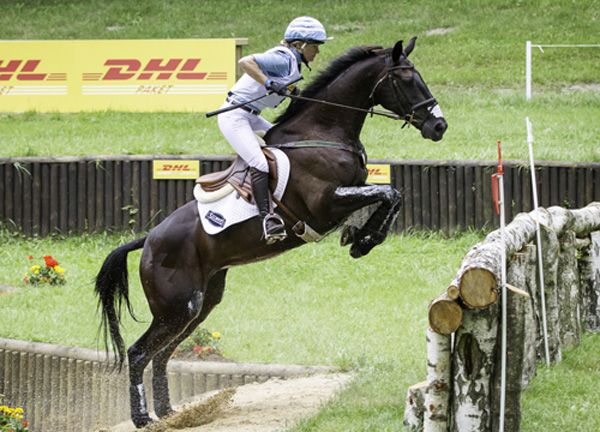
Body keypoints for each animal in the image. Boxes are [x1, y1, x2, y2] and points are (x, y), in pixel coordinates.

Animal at [96, 38, 446, 428]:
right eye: (407, 80)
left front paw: (360, 238)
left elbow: (389, 195)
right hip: (177, 306)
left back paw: (173, 414)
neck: (322, 133)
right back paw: (145, 418)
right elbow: (389, 192)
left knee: (163, 353)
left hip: (201, 303)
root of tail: (148, 241)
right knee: (140, 352)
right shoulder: (325, 205)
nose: (439, 126)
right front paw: (364, 240)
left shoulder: (351, 193)